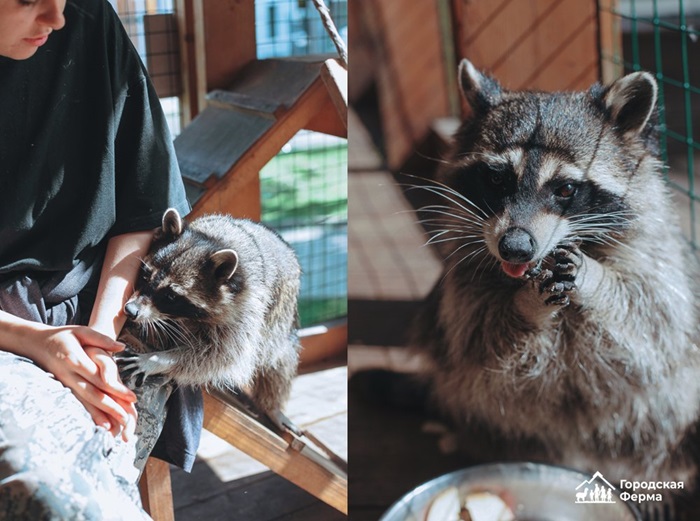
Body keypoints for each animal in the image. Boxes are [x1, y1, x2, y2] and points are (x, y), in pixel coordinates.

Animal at [117, 207, 300, 414]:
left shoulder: (246, 310)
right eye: (146, 275)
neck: (212, 241)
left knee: (277, 358)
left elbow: (219, 356)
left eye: (171, 296)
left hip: (279, 318)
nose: (131, 310)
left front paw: (159, 360)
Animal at [412, 60, 700, 484]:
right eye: (497, 178)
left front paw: (594, 279)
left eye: (564, 189)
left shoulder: (656, 257)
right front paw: (526, 304)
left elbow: (651, 320)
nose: (515, 246)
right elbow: (479, 338)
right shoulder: (465, 280)